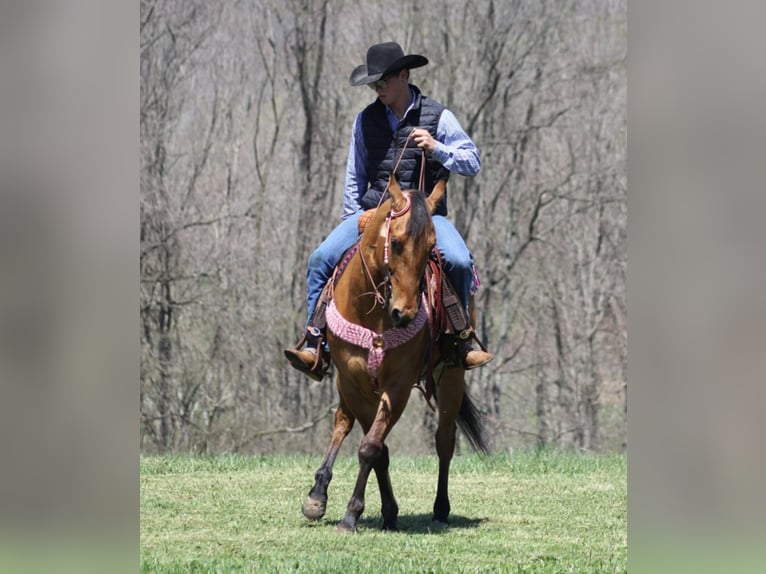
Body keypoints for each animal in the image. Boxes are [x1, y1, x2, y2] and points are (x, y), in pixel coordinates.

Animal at [300, 176, 486, 536]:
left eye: (431, 248)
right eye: (396, 243)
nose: (404, 313)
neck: (371, 313)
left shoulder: (397, 386)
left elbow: (371, 446)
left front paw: (351, 516)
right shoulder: (353, 382)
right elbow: (376, 448)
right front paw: (384, 511)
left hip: (451, 376)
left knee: (444, 440)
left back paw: (440, 509)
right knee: (341, 422)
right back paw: (319, 493)